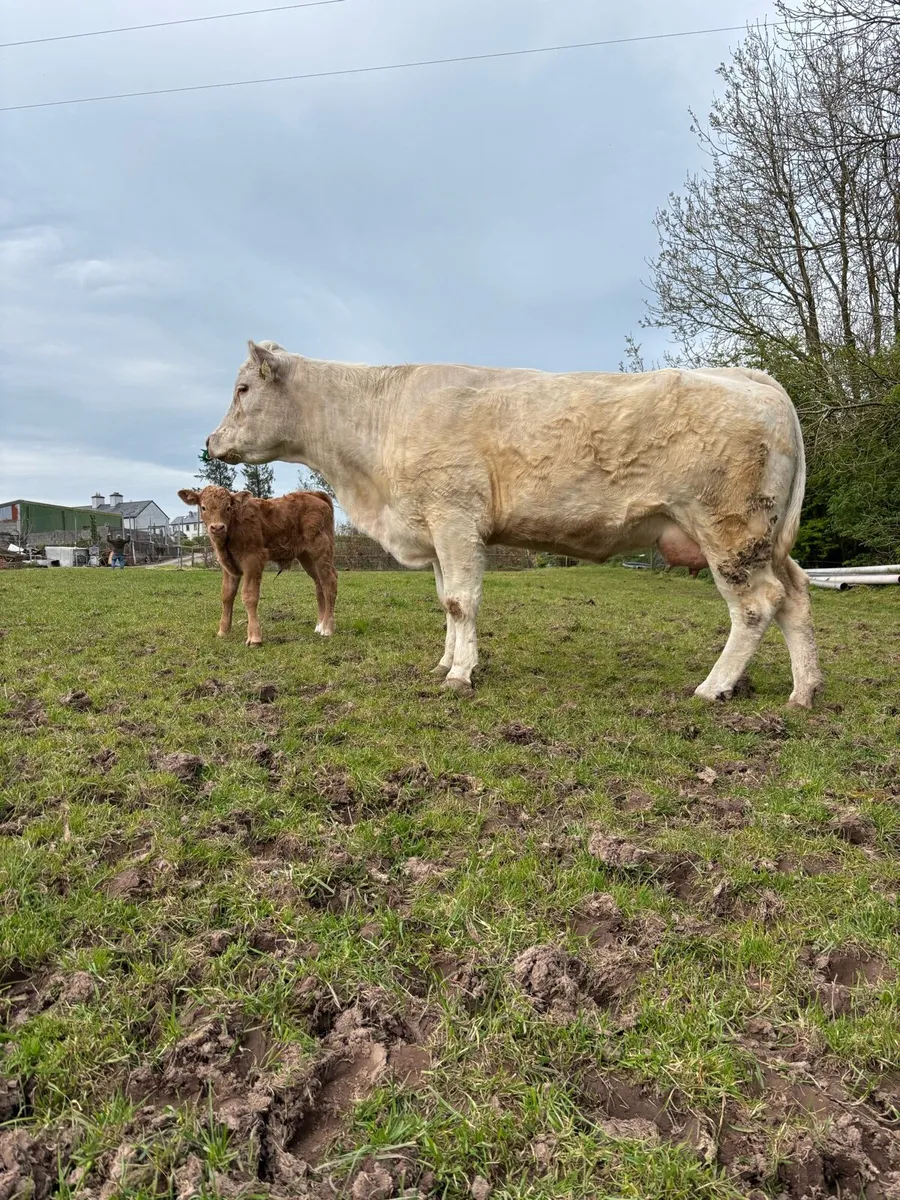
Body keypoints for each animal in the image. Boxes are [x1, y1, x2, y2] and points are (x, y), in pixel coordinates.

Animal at [177, 484, 337, 646]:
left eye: (228, 507)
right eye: (203, 507)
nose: (217, 527)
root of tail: (315, 495)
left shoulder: (253, 559)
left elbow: (249, 596)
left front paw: (254, 638)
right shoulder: (228, 566)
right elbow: (227, 595)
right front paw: (223, 631)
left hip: (320, 550)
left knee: (329, 582)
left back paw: (327, 629)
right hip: (306, 557)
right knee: (319, 583)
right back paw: (319, 625)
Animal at [205, 342, 823, 707]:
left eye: (242, 389)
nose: (211, 441)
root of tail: (752, 379)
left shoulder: (455, 517)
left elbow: (462, 601)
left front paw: (460, 674)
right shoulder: (435, 530)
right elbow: (446, 601)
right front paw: (445, 661)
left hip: (729, 527)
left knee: (757, 604)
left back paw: (713, 687)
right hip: (765, 538)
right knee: (795, 593)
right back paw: (803, 691)